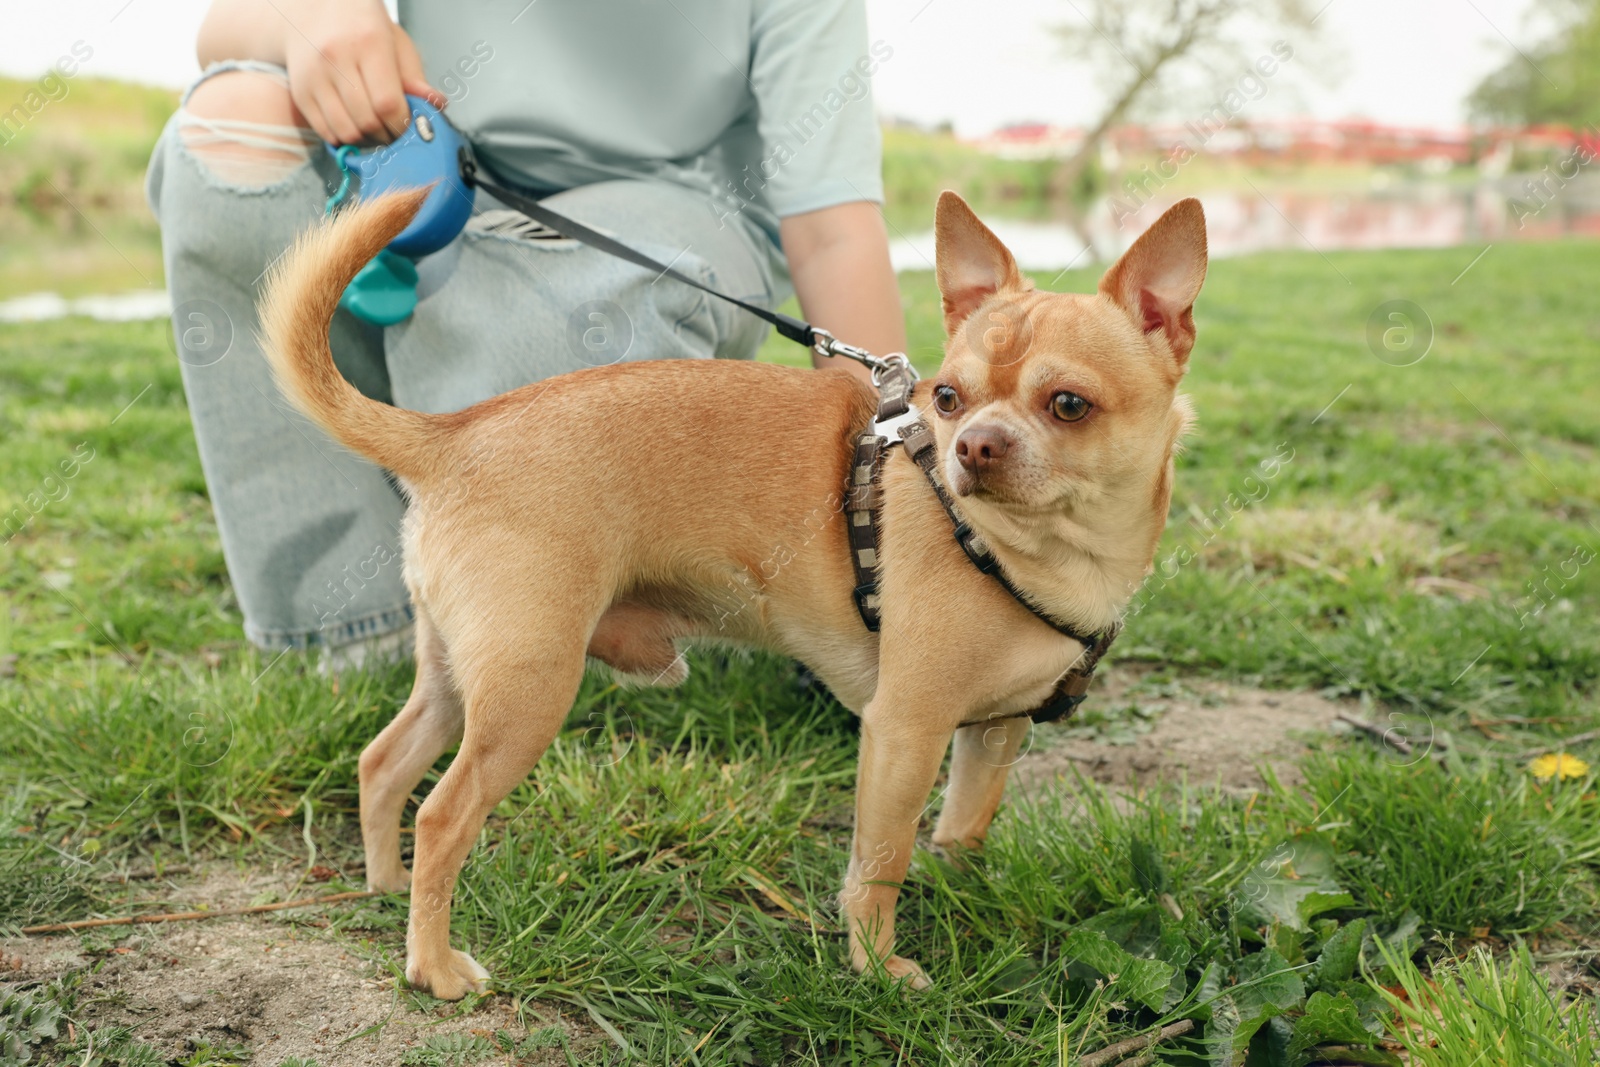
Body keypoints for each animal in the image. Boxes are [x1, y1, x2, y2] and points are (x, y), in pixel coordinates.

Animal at [256, 187, 1203, 998]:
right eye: (946, 398)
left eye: (1069, 404)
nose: (972, 445)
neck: (1052, 556)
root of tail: (452, 434)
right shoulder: (905, 731)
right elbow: (879, 861)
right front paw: (876, 965)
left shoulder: (993, 733)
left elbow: (963, 826)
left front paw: (959, 888)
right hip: (528, 690)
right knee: (443, 816)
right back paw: (435, 965)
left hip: (461, 676)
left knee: (384, 763)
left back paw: (385, 888)